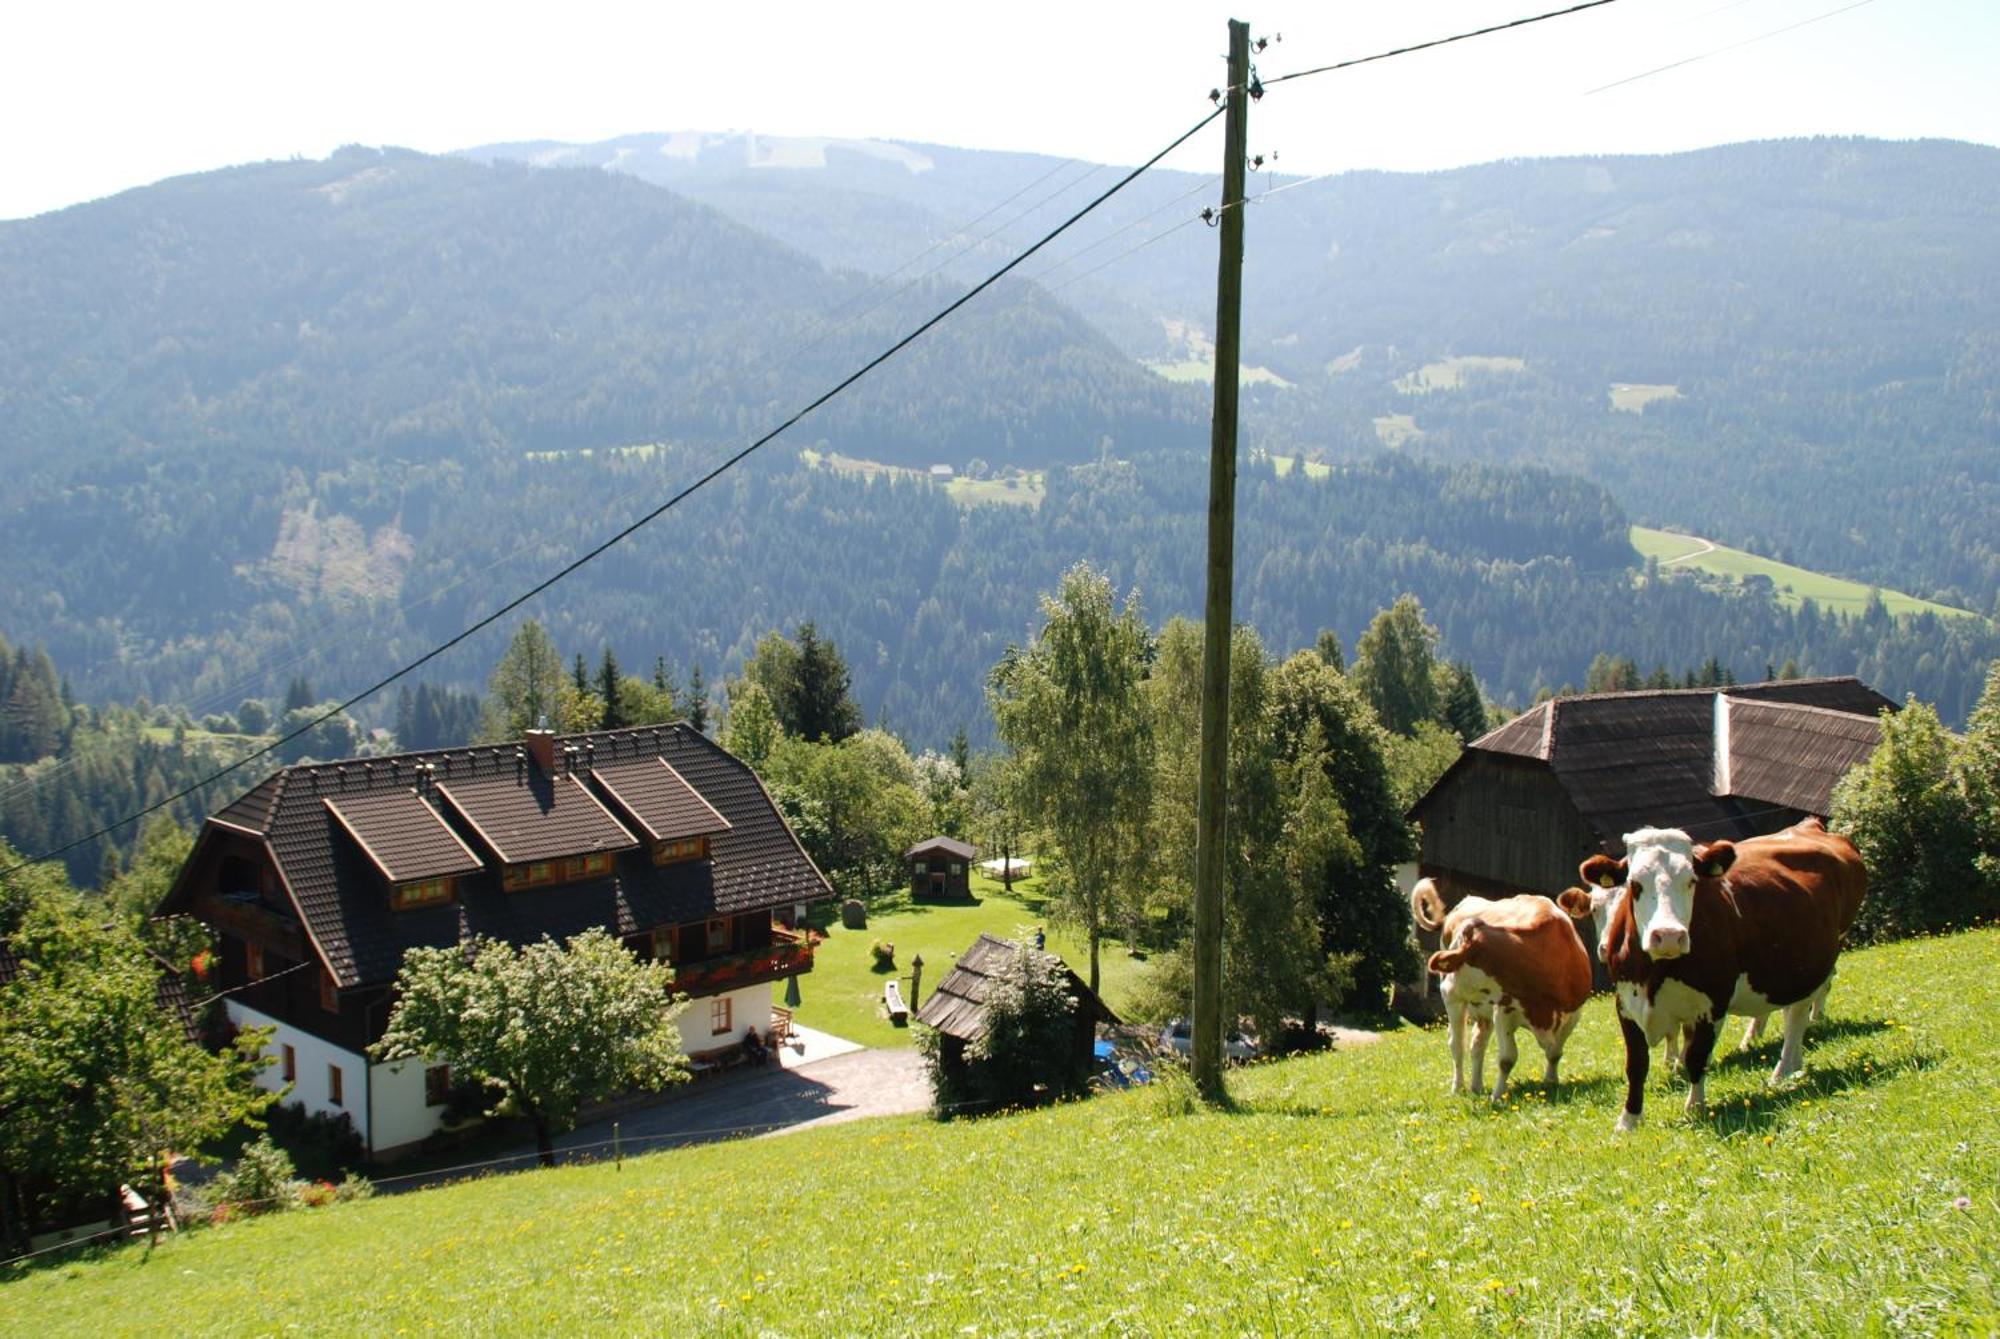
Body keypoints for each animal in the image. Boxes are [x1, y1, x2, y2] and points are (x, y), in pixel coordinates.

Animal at [1408, 875, 1592, 1103]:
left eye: (1460, 958)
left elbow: (1555, 1052)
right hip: (1458, 1003)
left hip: (1479, 1009)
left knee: (1477, 1044)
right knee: (1457, 1044)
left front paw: (1550, 1081)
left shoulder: (1575, 1012)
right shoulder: (1504, 1010)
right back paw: (1458, 1087)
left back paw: (1476, 1086)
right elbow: (1507, 1059)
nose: (1444, 983)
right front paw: (1497, 1096)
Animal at [1560, 819, 1872, 1135]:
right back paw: (1790, 1063)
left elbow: (1697, 1058)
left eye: (1691, 881)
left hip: (1819, 959)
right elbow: (1636, 1065)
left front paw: (1695, 1108)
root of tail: (1809, 825)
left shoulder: (1712, 1003)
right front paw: (1629, 1121)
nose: (1669, 936)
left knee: (1798, 1014)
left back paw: (1783, 1070)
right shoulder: (1625, 1003)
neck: (1656, 973)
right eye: (1635, 883)